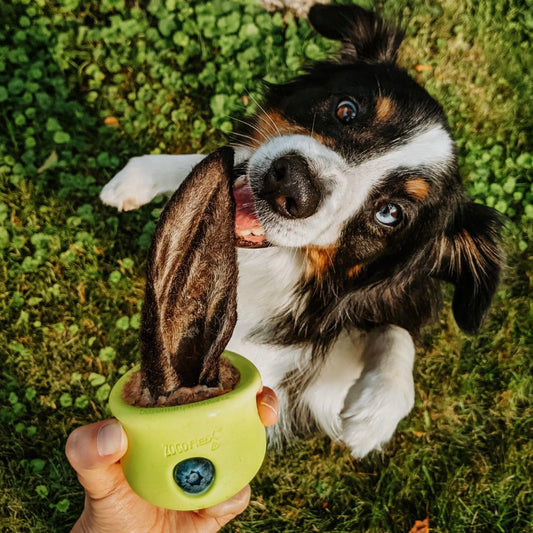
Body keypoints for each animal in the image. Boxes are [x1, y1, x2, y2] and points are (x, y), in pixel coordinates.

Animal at [100, 4, 502, 458]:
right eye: (347, 109)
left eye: (390, 213)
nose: (292, 186)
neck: (260, 267)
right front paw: (138, 178)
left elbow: (396, 330)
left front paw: (376, 412)